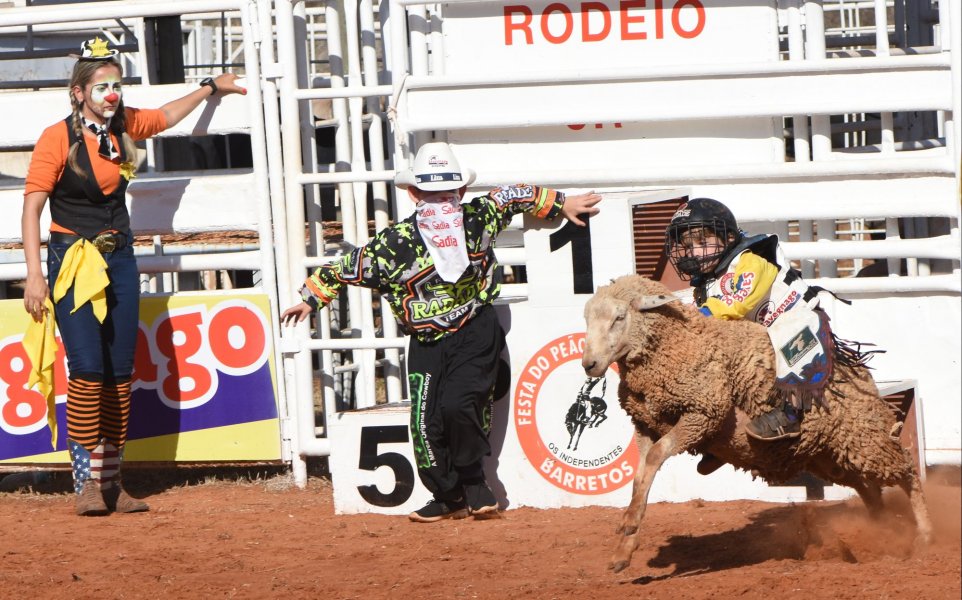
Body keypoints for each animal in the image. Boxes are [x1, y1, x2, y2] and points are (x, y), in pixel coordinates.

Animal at [576, 274, 928, 576]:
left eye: (619, 317)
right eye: (587, 319)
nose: (589, 364)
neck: (680, 342)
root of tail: (858, 369)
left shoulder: (702, 413)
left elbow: (655, 458)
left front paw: (629, 525)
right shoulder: (646, 426)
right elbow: (640, 476)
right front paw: (625, 546)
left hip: (863, 436)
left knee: (907, 470)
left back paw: (925, 533)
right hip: (832, 456)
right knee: (869, 489)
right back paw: (881, 529)